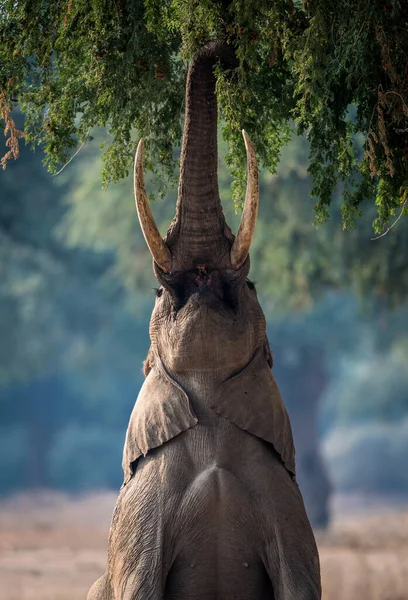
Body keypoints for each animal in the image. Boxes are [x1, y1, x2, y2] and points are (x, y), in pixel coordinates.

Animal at [87, 41, 320, 600]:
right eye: (158, 292)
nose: (223, 51)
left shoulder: (289, 507)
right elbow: (139, 587)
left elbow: (298, 585)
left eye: (252, 286)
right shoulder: (142, 516)